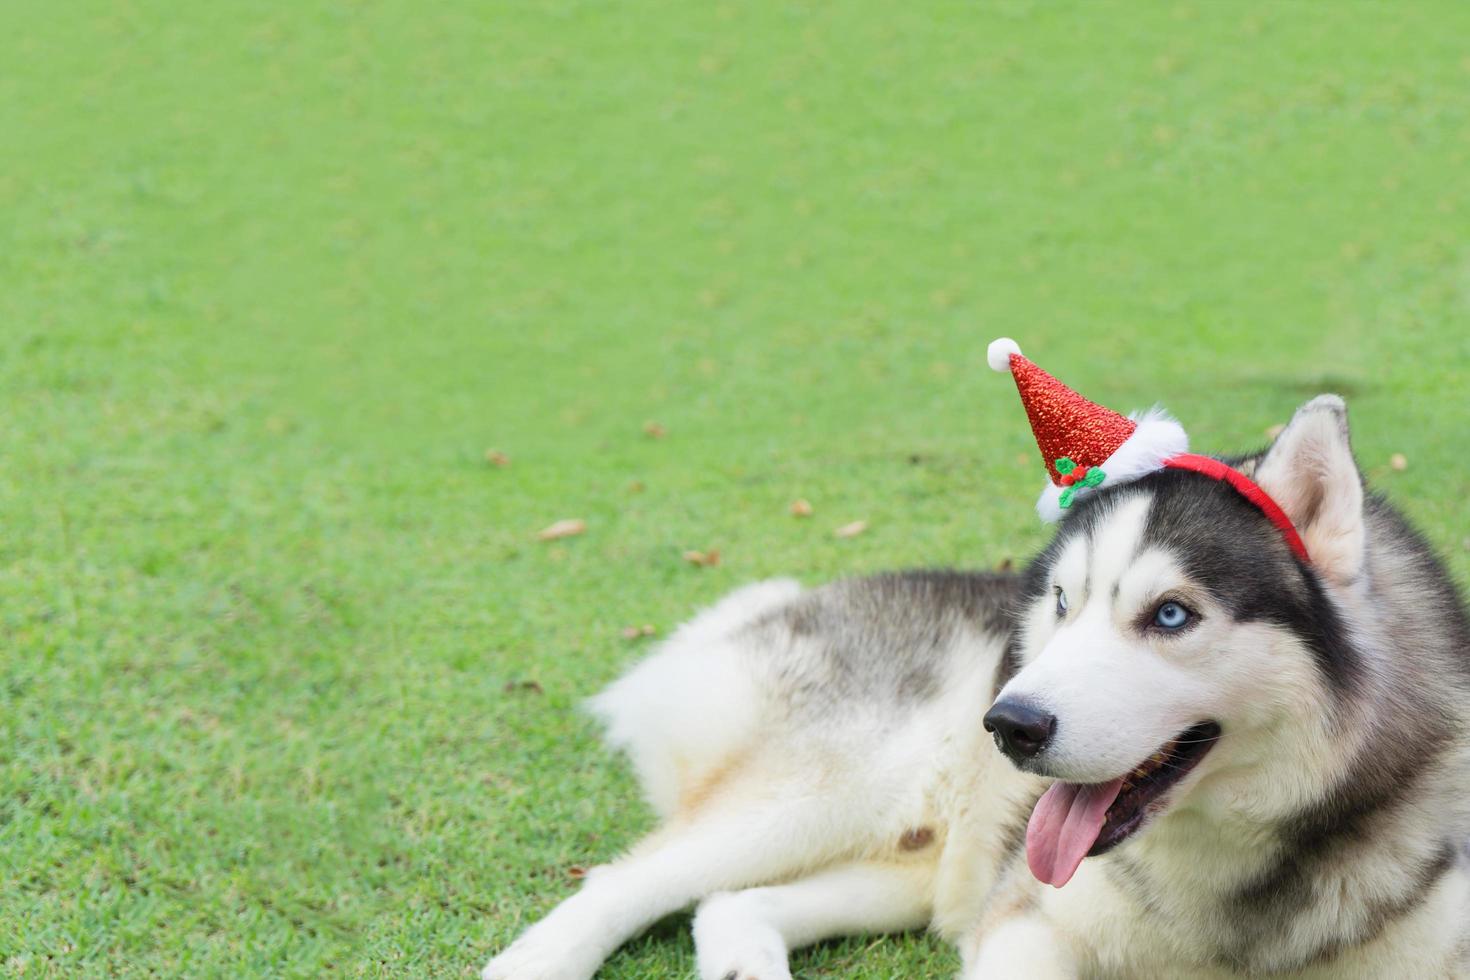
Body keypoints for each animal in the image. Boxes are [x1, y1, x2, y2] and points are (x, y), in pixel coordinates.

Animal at [485, 393, 1470, 975]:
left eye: (1171, 615)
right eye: (1063, 602)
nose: (1011, 724)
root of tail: (775, 604)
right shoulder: (1027, 922)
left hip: (913, 864)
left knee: (733, 903)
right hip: (822, 794)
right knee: (619, 883)